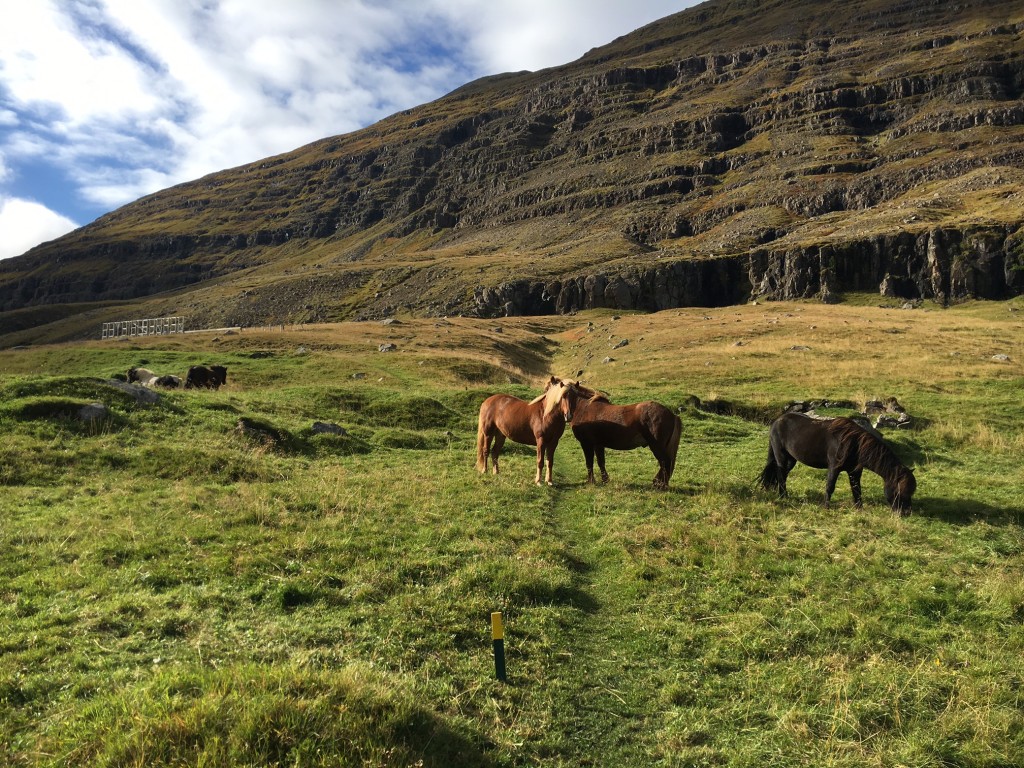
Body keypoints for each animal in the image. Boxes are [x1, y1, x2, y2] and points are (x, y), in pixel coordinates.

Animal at [757, 411, 917, 514]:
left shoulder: (855, 471)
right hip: (781, 456)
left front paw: (859, 508)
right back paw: (783, 497)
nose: (906, 512)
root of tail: (776, 421)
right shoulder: (834, 467)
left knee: (782, 475)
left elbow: (856, 489)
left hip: (791, 460)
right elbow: (830, 487)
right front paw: (826, 507)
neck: (854, 444)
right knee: (781, 474)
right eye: (899, 490)